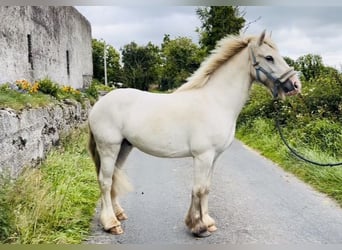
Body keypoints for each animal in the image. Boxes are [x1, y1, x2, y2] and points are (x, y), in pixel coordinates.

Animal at [89, 30, 302, 237]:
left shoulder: (214, 157)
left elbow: (206, 188)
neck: (216, 101)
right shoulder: (203, 156)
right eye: (269, 57)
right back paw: (111, 224)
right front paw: (198, 227)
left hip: (124, 147)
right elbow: (198, 189)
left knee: (114, 177)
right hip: (109, 148)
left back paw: (118, 214)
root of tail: (98, 105)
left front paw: (207, 222)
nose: (295, 85)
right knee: (105, 181)